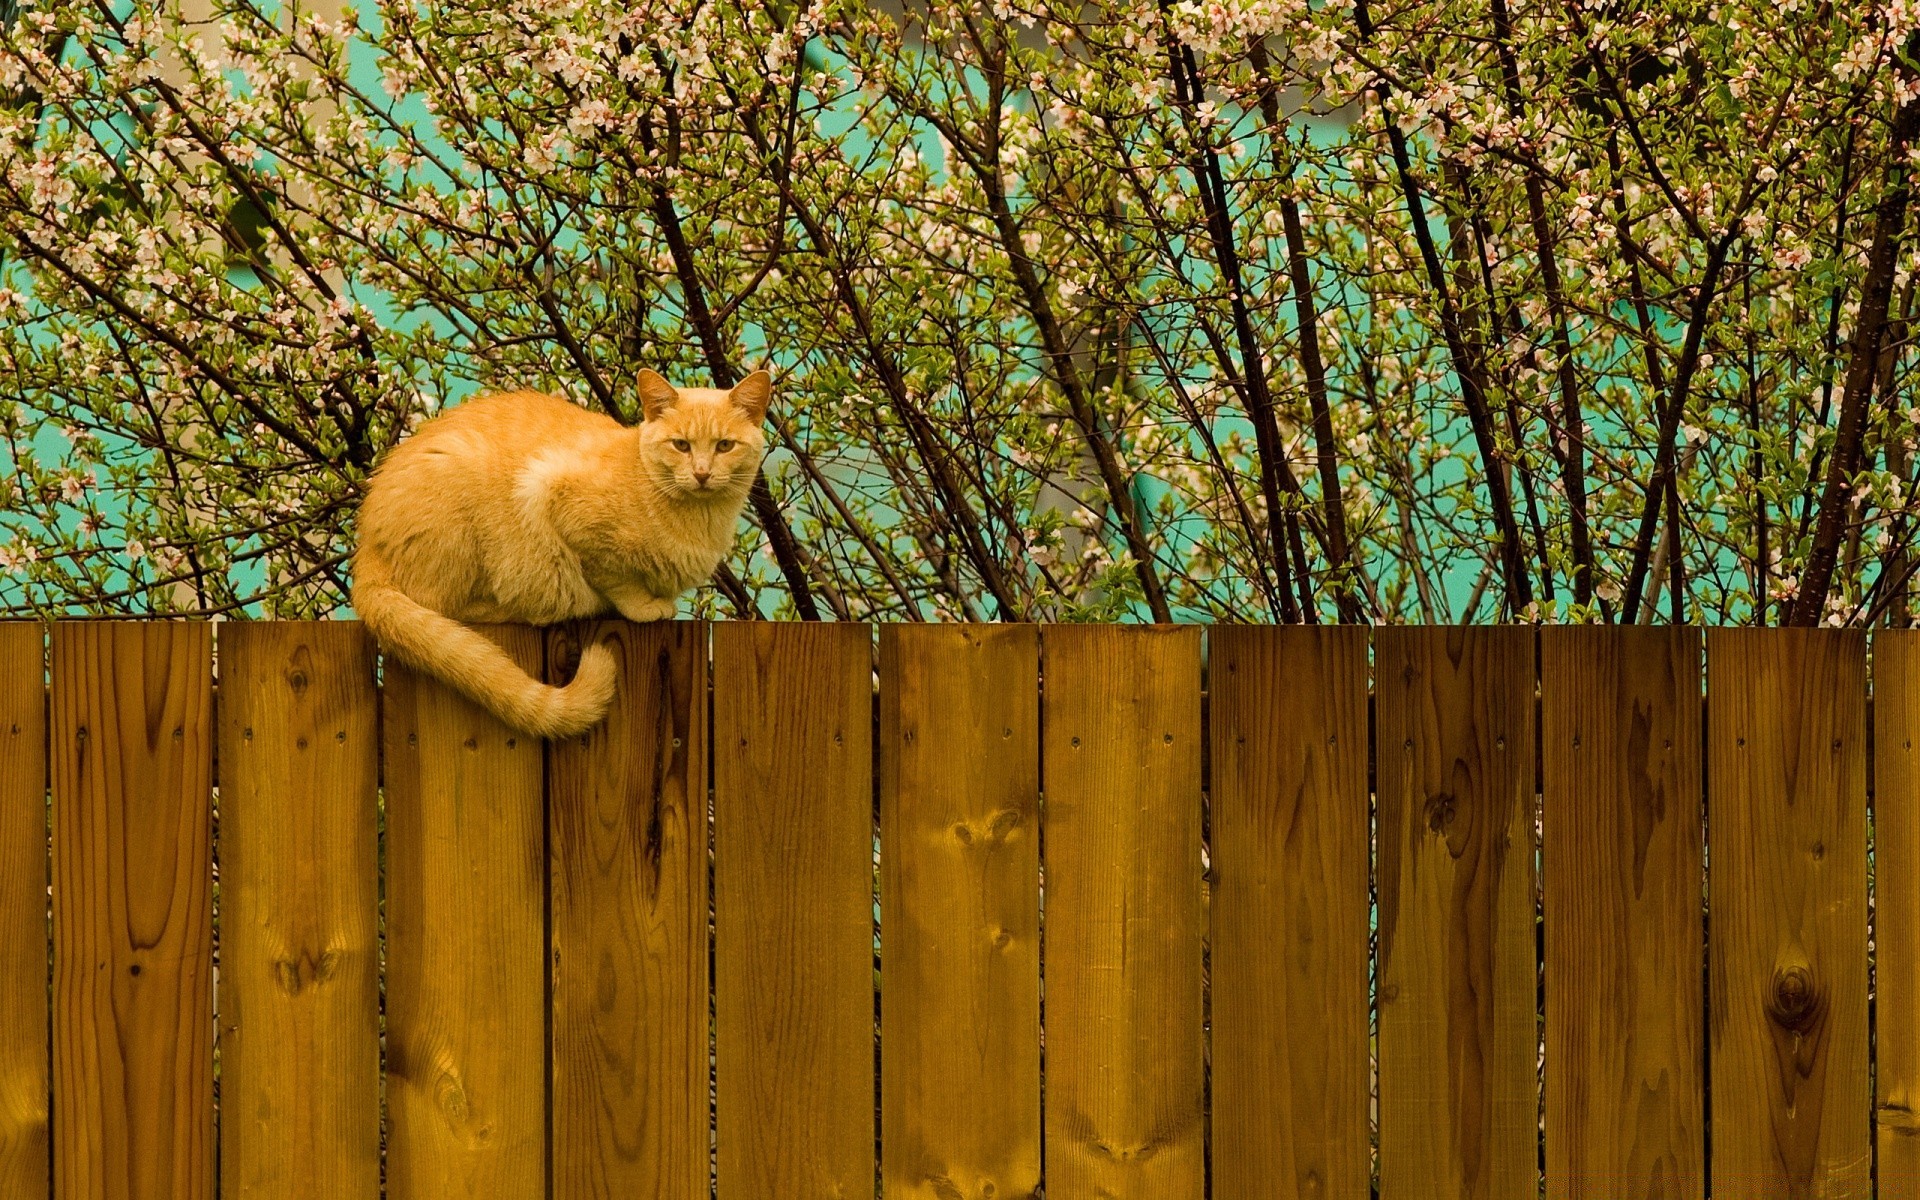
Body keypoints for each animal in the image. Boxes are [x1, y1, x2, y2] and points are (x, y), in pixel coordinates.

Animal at [349, 370, 768, 733]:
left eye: (724, 446)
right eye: (681, 445)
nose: (701, 473)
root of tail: (366, 544)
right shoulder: (555, 497)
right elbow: (616, 579)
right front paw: (644, 606)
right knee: (441, 605)